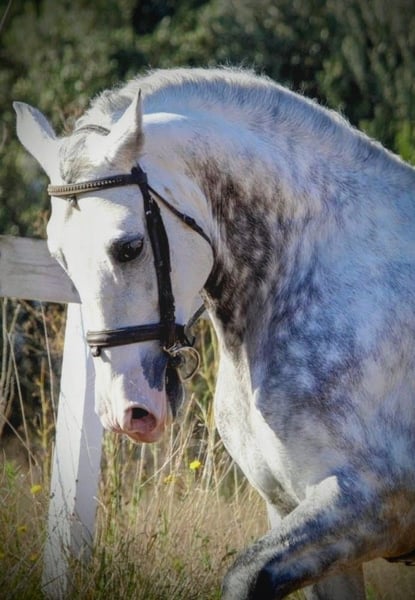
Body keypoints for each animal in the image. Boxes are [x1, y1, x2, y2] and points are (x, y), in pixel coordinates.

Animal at [14, 67, 415, 599]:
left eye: (129, 247)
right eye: (59, 257)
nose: (128, 413)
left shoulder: (373, 504)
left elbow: (245, 574)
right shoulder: (295, 511)